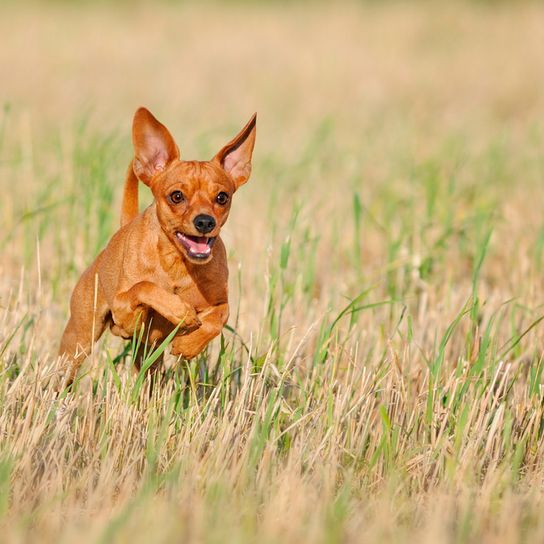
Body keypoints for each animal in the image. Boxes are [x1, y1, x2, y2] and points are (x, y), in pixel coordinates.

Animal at [58, 107, 258, 386]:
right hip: (79, 338)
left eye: (222, 197)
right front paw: (180, 311)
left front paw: (188, 344)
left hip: (148, 355)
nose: (205, 221)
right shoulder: (123, 313)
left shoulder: (219, 302)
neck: (178, 264)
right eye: (176, 196)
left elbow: (220, 316)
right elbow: (144, 287)